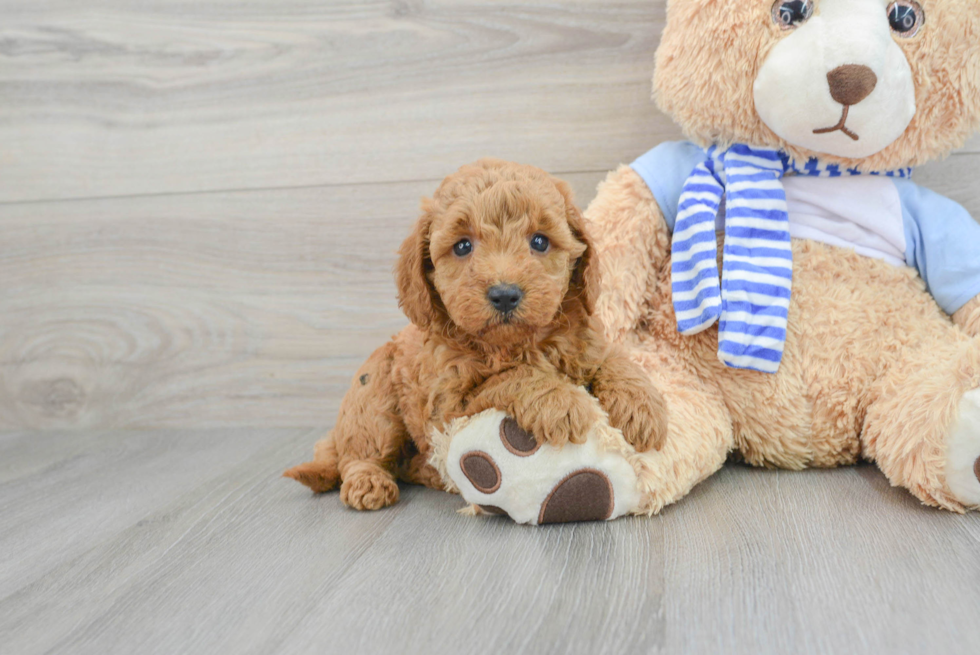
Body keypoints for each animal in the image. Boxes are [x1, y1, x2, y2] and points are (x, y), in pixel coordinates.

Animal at [284, 160, 668, 512]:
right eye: (462, 246)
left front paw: (642, 406)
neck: (517, 344)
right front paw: (562, 403)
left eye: (539, 241)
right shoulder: (450, 406)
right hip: (374, 402)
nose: (504, 294)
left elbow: (614, 359)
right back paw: (368, 483)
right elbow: (513, 376)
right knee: (361, 453)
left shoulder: (586, 342)